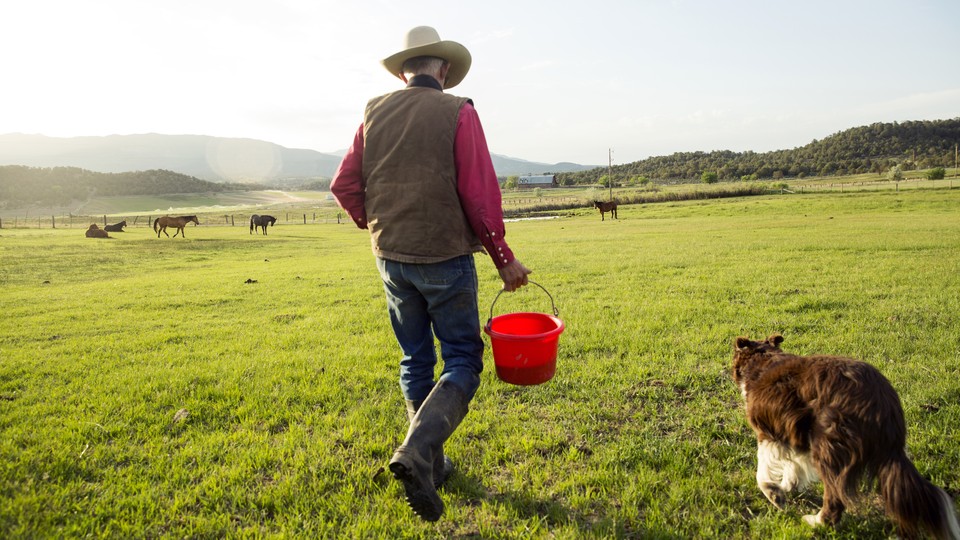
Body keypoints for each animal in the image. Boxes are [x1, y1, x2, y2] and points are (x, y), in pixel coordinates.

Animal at [732, 336, 956, 536]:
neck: (764, 358)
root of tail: (884, 409)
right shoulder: (796, 436)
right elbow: (794, 467)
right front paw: (787, 486)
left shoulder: (769, 433)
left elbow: (763, 470)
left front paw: (774, 493)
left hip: (828, 444)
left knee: (835, 497)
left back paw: (817, 522)